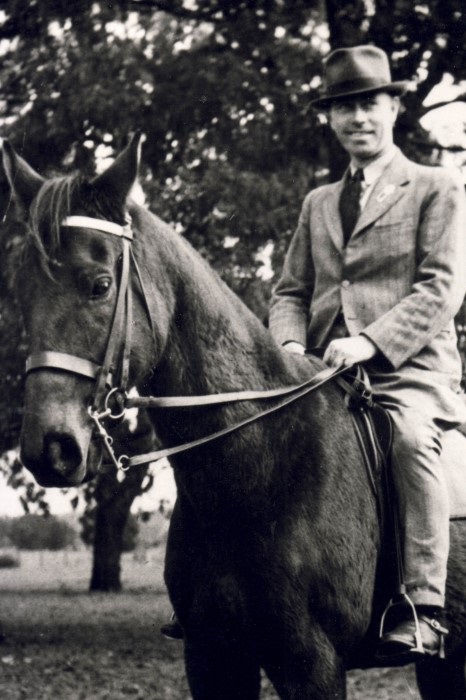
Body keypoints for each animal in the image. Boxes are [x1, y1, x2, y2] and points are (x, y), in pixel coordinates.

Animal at [3, 134, 466, 696]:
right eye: (21, 291)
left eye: (100, 285)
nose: (49, 449)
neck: (258, 466)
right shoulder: (212, 655)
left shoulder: (312, 661)